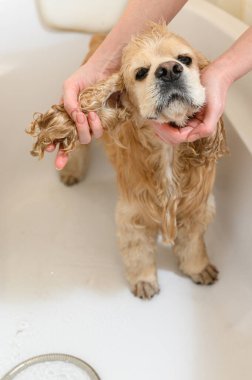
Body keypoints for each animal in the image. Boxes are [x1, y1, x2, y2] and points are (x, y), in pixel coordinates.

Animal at [27, 23, 226, 300]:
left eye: (185, 59)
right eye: (141, 72)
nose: (169, 70)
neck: (166, 152)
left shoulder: (197, 207)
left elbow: (193, 243)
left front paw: (199, 268)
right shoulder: (133, 212)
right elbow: (137, 251)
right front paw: (144, 281)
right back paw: (72, 172)